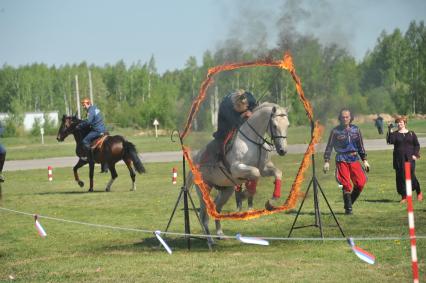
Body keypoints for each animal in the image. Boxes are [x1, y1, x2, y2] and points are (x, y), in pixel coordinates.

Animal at [187, 102, 290, 244]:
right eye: (274, 125)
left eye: (288, 125)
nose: (282, 150)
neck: (253, 141)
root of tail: (196, 159)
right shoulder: (237, 168)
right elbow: (255, 173)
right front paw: (244, 194)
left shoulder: (264, 169)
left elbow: (277, 173)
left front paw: (271, 201)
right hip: (204, 189)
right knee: (204, 215)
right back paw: (210, 240)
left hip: (226, 190)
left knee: (217, 209)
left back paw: (220, 234)